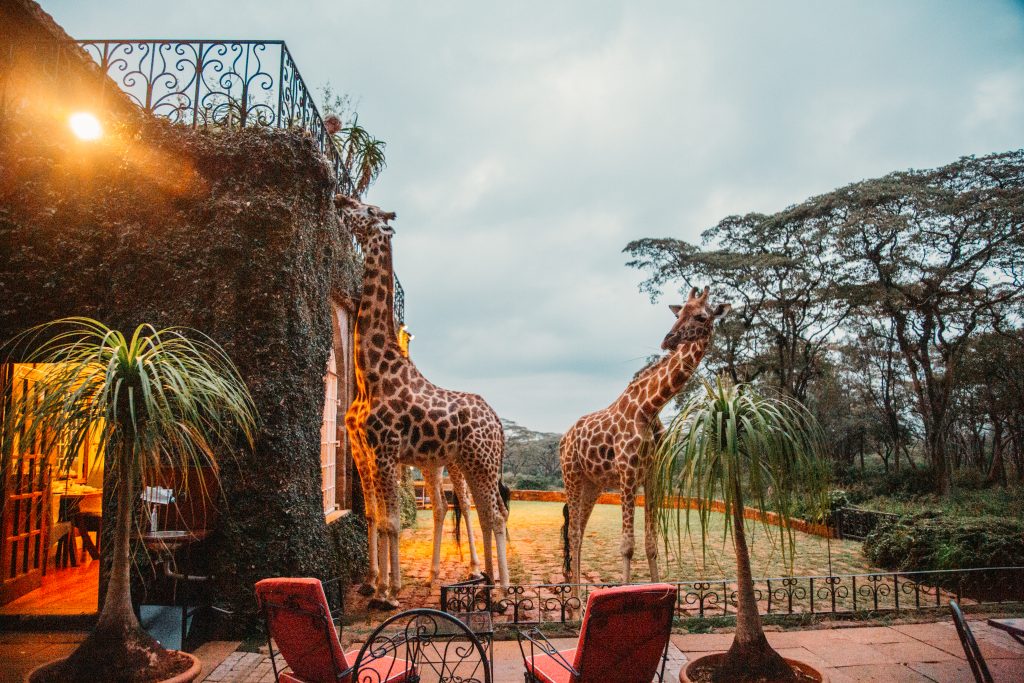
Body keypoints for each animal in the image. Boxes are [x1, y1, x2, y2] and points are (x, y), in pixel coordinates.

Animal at [337, 193, 509, 610]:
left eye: (368, 210)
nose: (340, 198)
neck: (373, 372)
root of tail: (497, 421)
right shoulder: (367, 451)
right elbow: (375, 517)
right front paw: (376, 585)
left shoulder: (383, 451)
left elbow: (390, 521)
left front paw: (388, 593)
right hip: (469, 464)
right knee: (483, 513)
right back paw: (483, 583)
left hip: (477, 463)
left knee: (493, 517)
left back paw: (500, 591)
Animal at [561, 288, 729, 589]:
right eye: (678, 313)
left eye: (700, 316)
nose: (668, 340)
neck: (650, 408)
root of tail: (564, 439)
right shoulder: (628, 473)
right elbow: (627, 545)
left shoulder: (652, 477)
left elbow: (652, 544)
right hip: (572, 475)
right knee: (574, 534)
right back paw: (576, 599)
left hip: (593, 484)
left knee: (578, 530)